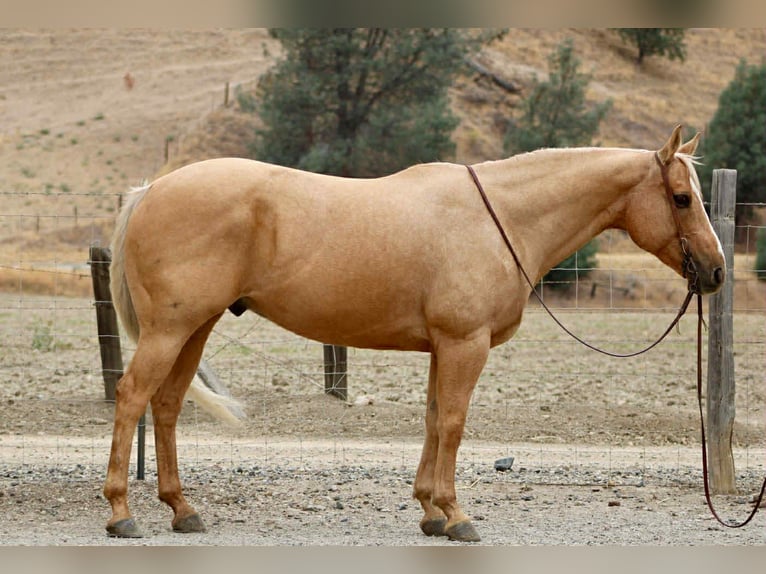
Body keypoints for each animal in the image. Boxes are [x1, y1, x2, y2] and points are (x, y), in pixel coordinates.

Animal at [103, 125, 724, 541]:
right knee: (132, 397)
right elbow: (452, 423)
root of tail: (150, 191)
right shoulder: (465, 343)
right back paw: (121, 513)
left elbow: (431, 419)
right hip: (171, 329)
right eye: (681, 198)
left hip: (195, 328)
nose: (716, 271)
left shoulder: (442, 347)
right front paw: (456, 515)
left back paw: (182, 509)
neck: (501, 218)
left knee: (165, 405)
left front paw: (428, 511)